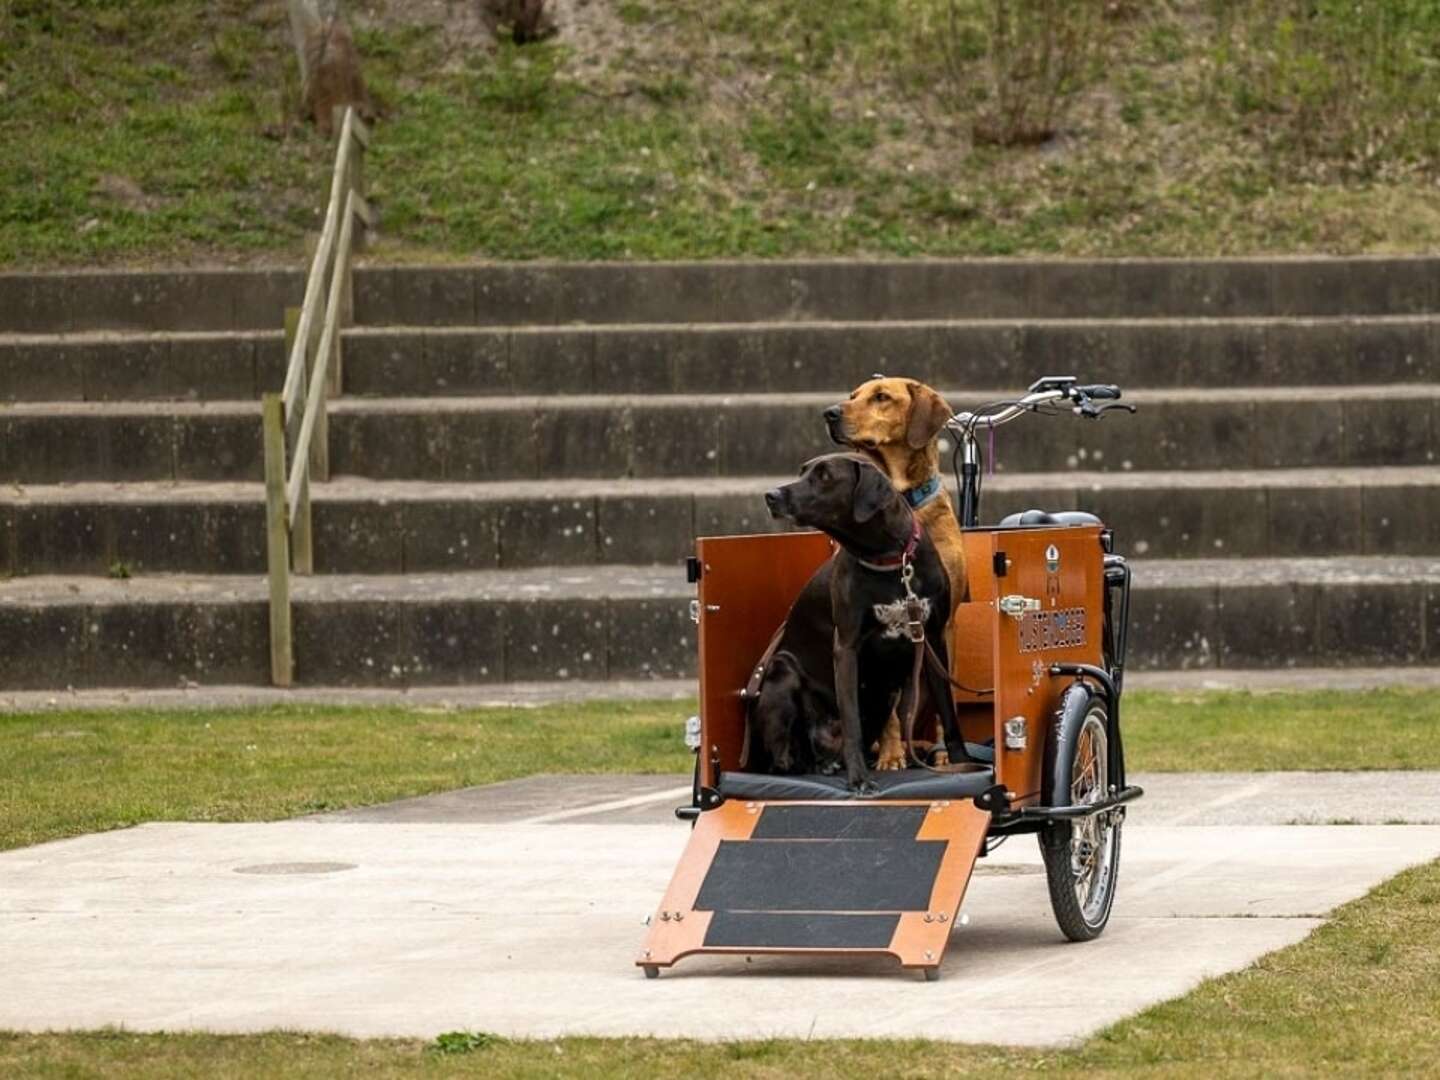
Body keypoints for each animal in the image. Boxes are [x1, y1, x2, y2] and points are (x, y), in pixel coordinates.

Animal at [754, 449, 967, 794]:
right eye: (803, 472)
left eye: (825, 476)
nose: (771, 495)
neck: (890, 559)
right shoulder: (847, 648)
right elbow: (851, 720)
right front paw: (859, 779)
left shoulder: (934, 639)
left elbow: (947, 711)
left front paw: (960, 761)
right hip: (781, 673)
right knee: (784, 762)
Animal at [823, 377, 967, 771]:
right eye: (852, 396)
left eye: (881, 397)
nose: (829, 413)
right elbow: (887, 710)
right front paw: (891, 755)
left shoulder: (942, 625)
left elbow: (945, 699)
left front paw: (947, 753)